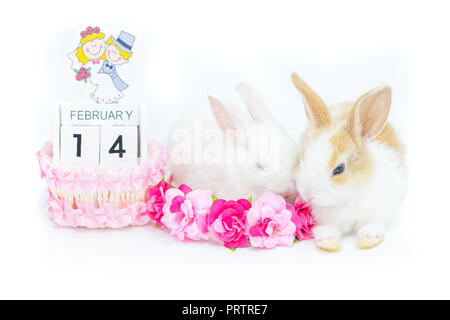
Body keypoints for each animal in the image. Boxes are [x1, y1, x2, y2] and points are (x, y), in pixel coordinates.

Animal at [290, 74, 406, 251]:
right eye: (303, 156)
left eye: (339, 169)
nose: (308, 195)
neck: (346, 197)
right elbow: (327, 229)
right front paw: (328, 242)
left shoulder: (379, 209)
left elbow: (372, 225)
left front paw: (368, 240)